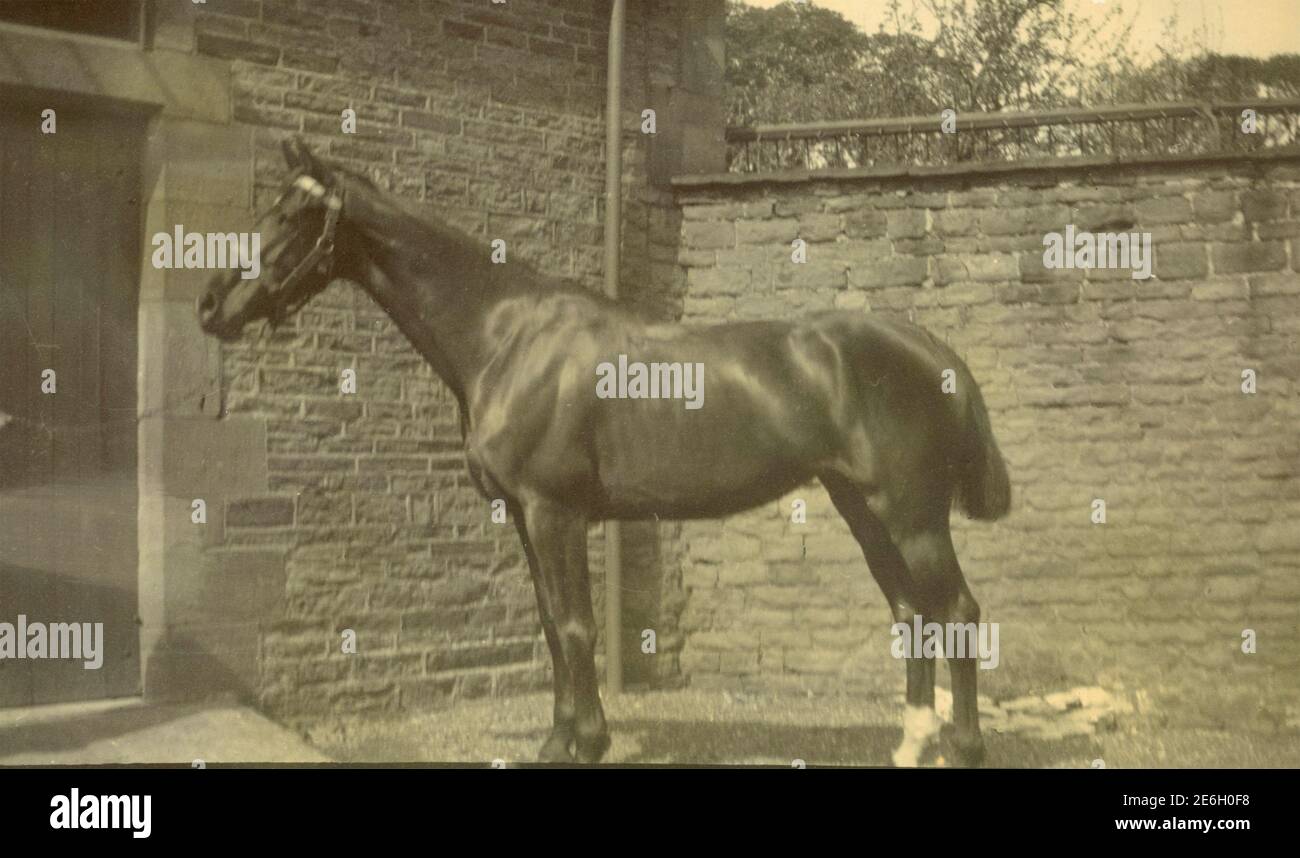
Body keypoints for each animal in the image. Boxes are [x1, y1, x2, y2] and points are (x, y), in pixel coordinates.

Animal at [197, 137, 1008, 769]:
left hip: (911, 516)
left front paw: (586, 741)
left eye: (295, 215)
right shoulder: (527, 519)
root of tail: (931, 349)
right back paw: (911, 744)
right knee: (912, 612)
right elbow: (553, 629)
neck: (503, 334)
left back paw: (964, 746)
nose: (212, 305)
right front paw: (560, 739)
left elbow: (576, 627)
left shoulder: (553, 513)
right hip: (863, 509)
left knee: (958, 610)